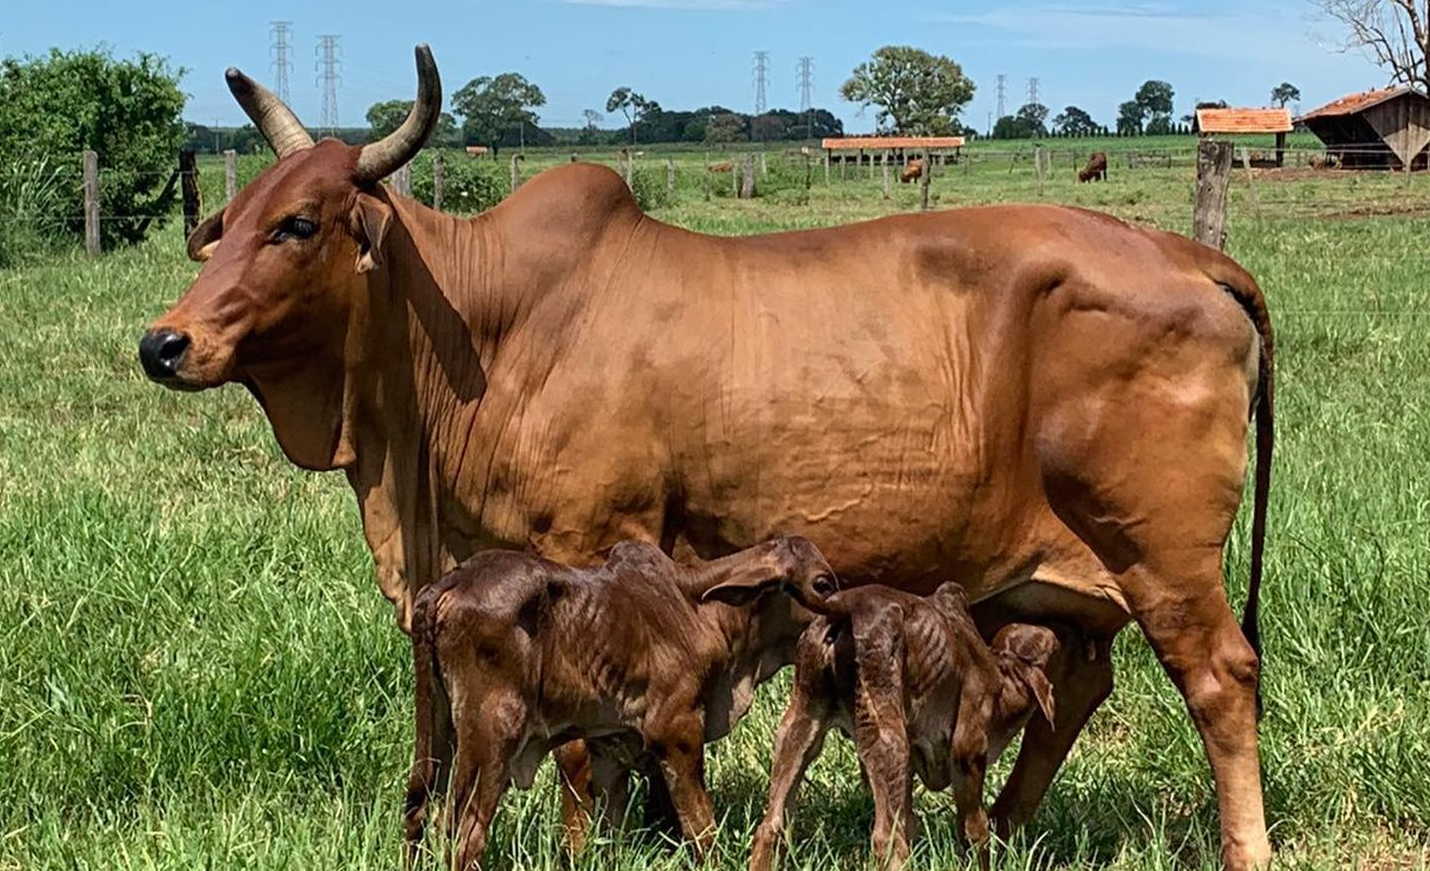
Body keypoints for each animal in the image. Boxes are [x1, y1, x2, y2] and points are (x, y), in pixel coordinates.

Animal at [403, 532, 835, 863]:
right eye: (823, 584)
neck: (698, 607)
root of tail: (447, 585)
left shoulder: (611, 746)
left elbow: (612, 832)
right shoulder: (676, 732)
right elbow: (700, 826)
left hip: (439, 729)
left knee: (417, 811)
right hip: (492, 736)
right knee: (465, 834)